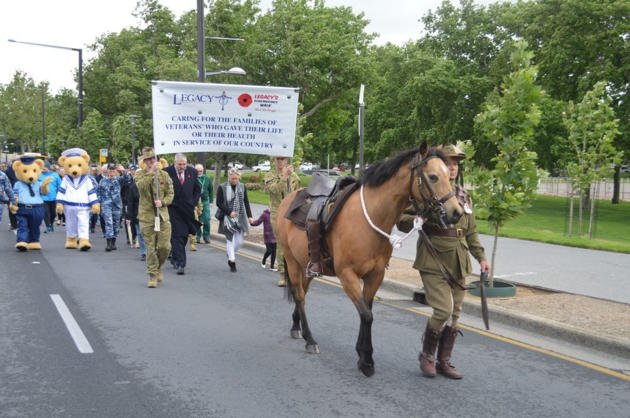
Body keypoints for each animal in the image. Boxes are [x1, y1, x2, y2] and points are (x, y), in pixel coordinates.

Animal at [276, 142, 464, 378]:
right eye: (432, 176)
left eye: (450, 175)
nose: (456, 212)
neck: (371, 218)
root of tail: (287, 198)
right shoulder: (348, 275)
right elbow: (366, 315)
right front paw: (366, 360)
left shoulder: (375, 275)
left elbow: (367, 310)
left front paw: (362, 353)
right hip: (291, 260)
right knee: (299, 295)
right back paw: (310, 339)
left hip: (308, 265)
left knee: (302, 292)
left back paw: (296, 327)